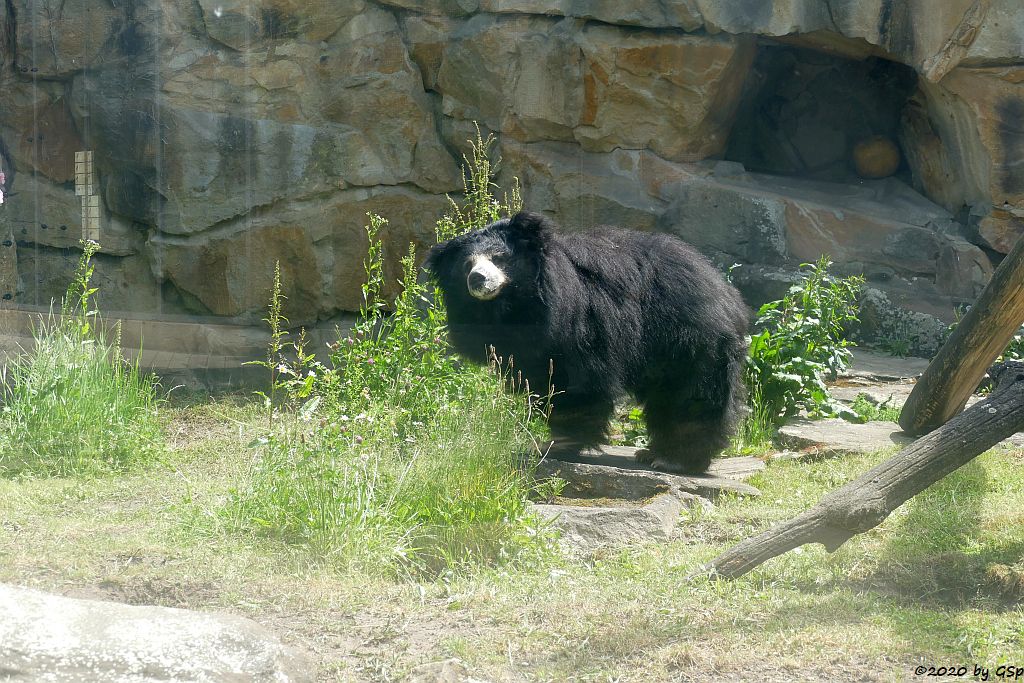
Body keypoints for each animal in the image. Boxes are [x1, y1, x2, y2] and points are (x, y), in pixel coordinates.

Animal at [423, 210, 753, 473]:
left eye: (500, 258)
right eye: (466, 265)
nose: (478, 279)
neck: (515, 308)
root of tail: (723, 289)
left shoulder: (581, 321)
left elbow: (577, 382)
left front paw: (554, 444)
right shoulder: (527, 347)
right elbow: (543, 380)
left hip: (688, 337)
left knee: (690, 394)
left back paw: (674, 459)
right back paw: (653, 454)